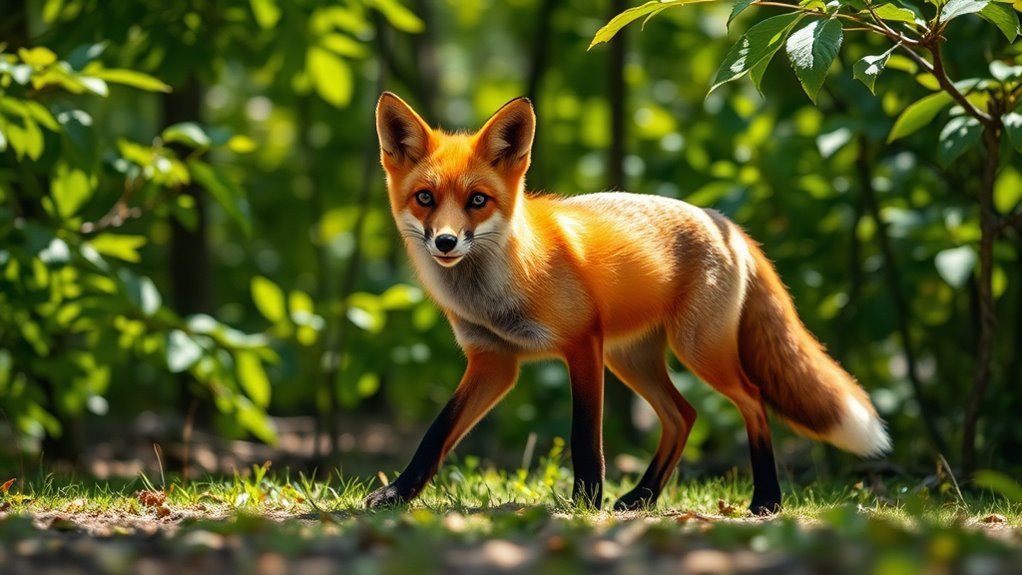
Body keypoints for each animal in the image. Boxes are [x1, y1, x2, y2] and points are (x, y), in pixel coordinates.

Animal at [365, 92, 891, 515]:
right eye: (425, 197)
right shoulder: (494, 360)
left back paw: (766, 499)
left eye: (477, 200)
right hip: (632, 358)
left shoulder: (582, 345)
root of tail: (724, 221)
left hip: (698, 351)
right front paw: (397, 494)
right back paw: (642, 497)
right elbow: (436, 433)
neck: (497, 293)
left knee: (753, 400)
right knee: (683, 416)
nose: (446, 242)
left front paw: (585, 503)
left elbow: (584, 438)